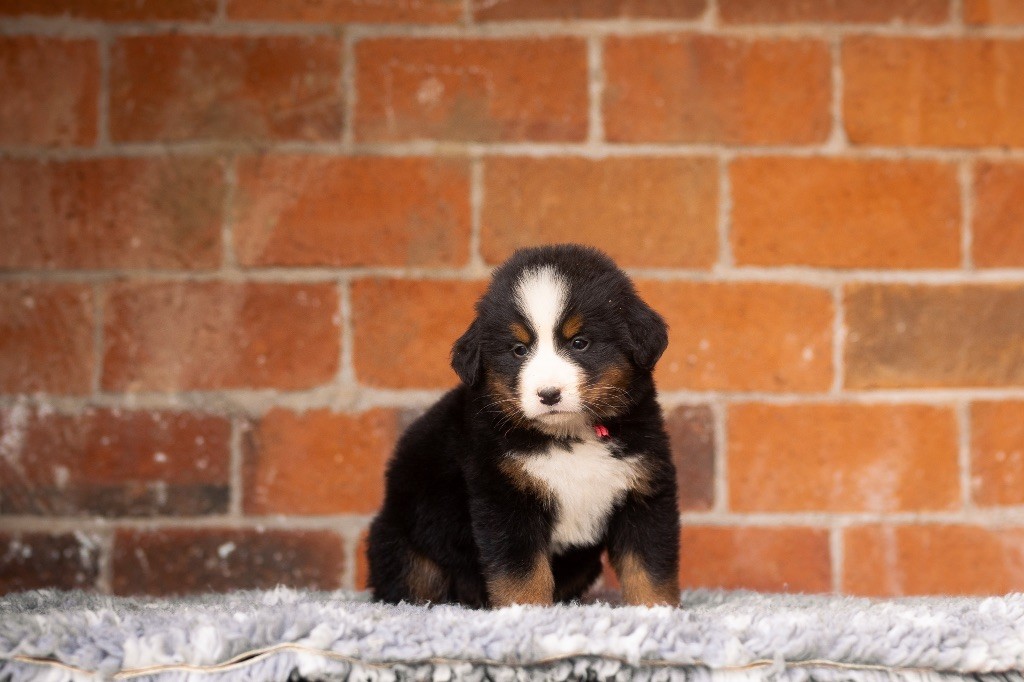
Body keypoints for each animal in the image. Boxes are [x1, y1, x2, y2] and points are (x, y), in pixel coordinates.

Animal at [368, 242, 679, 606]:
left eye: (579, 343)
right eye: (518, 350)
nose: (549, 394)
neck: (570, 436)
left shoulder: (644, 492)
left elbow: (649, 568)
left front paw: (655, 610)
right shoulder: (506, 499)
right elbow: (522, 573)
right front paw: (526, 612)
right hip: (406, 542)